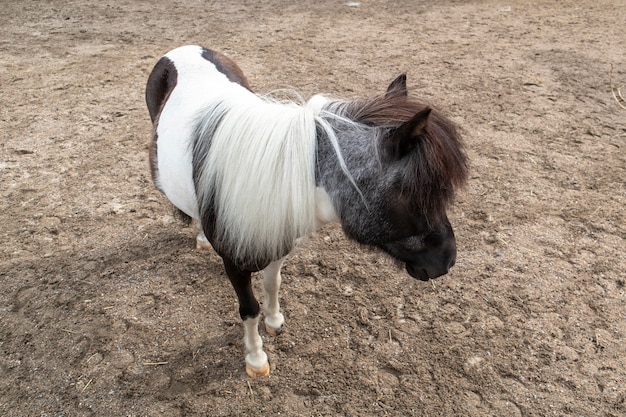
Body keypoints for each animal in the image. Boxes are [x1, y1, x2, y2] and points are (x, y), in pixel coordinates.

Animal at [144, 45, 466, 376]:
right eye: (412, 192)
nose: (448, 260)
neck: (267, 179)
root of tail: (184, 49)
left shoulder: (279, 241)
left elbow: (272, 284)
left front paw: (274, 322)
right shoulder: (234, 262)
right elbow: (249, 310)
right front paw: (256, 359)